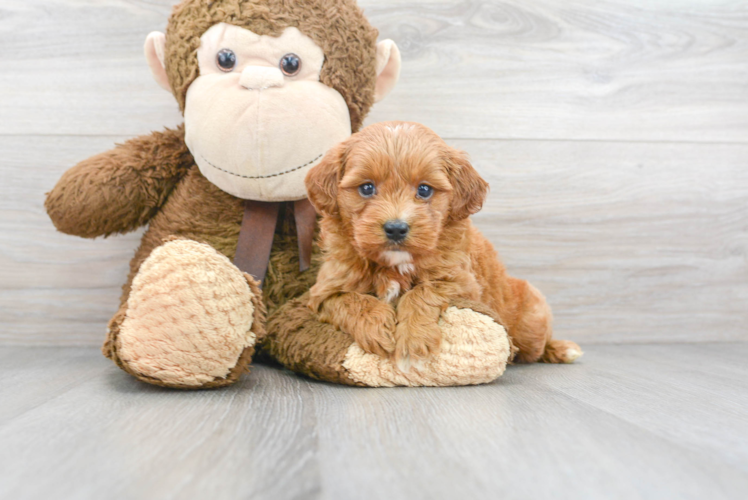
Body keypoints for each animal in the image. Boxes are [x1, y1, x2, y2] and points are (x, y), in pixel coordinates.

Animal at [306, 121, 584, 372]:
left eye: (424, 190)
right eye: (366, 187)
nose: (396, 228)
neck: (395, 263)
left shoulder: (463, 283)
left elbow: (423, 292)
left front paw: (413, 341)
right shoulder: (323, 292)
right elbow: (351, 299)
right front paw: (376, 328)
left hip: (530, 320)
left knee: (537, 344)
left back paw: (561, 349)